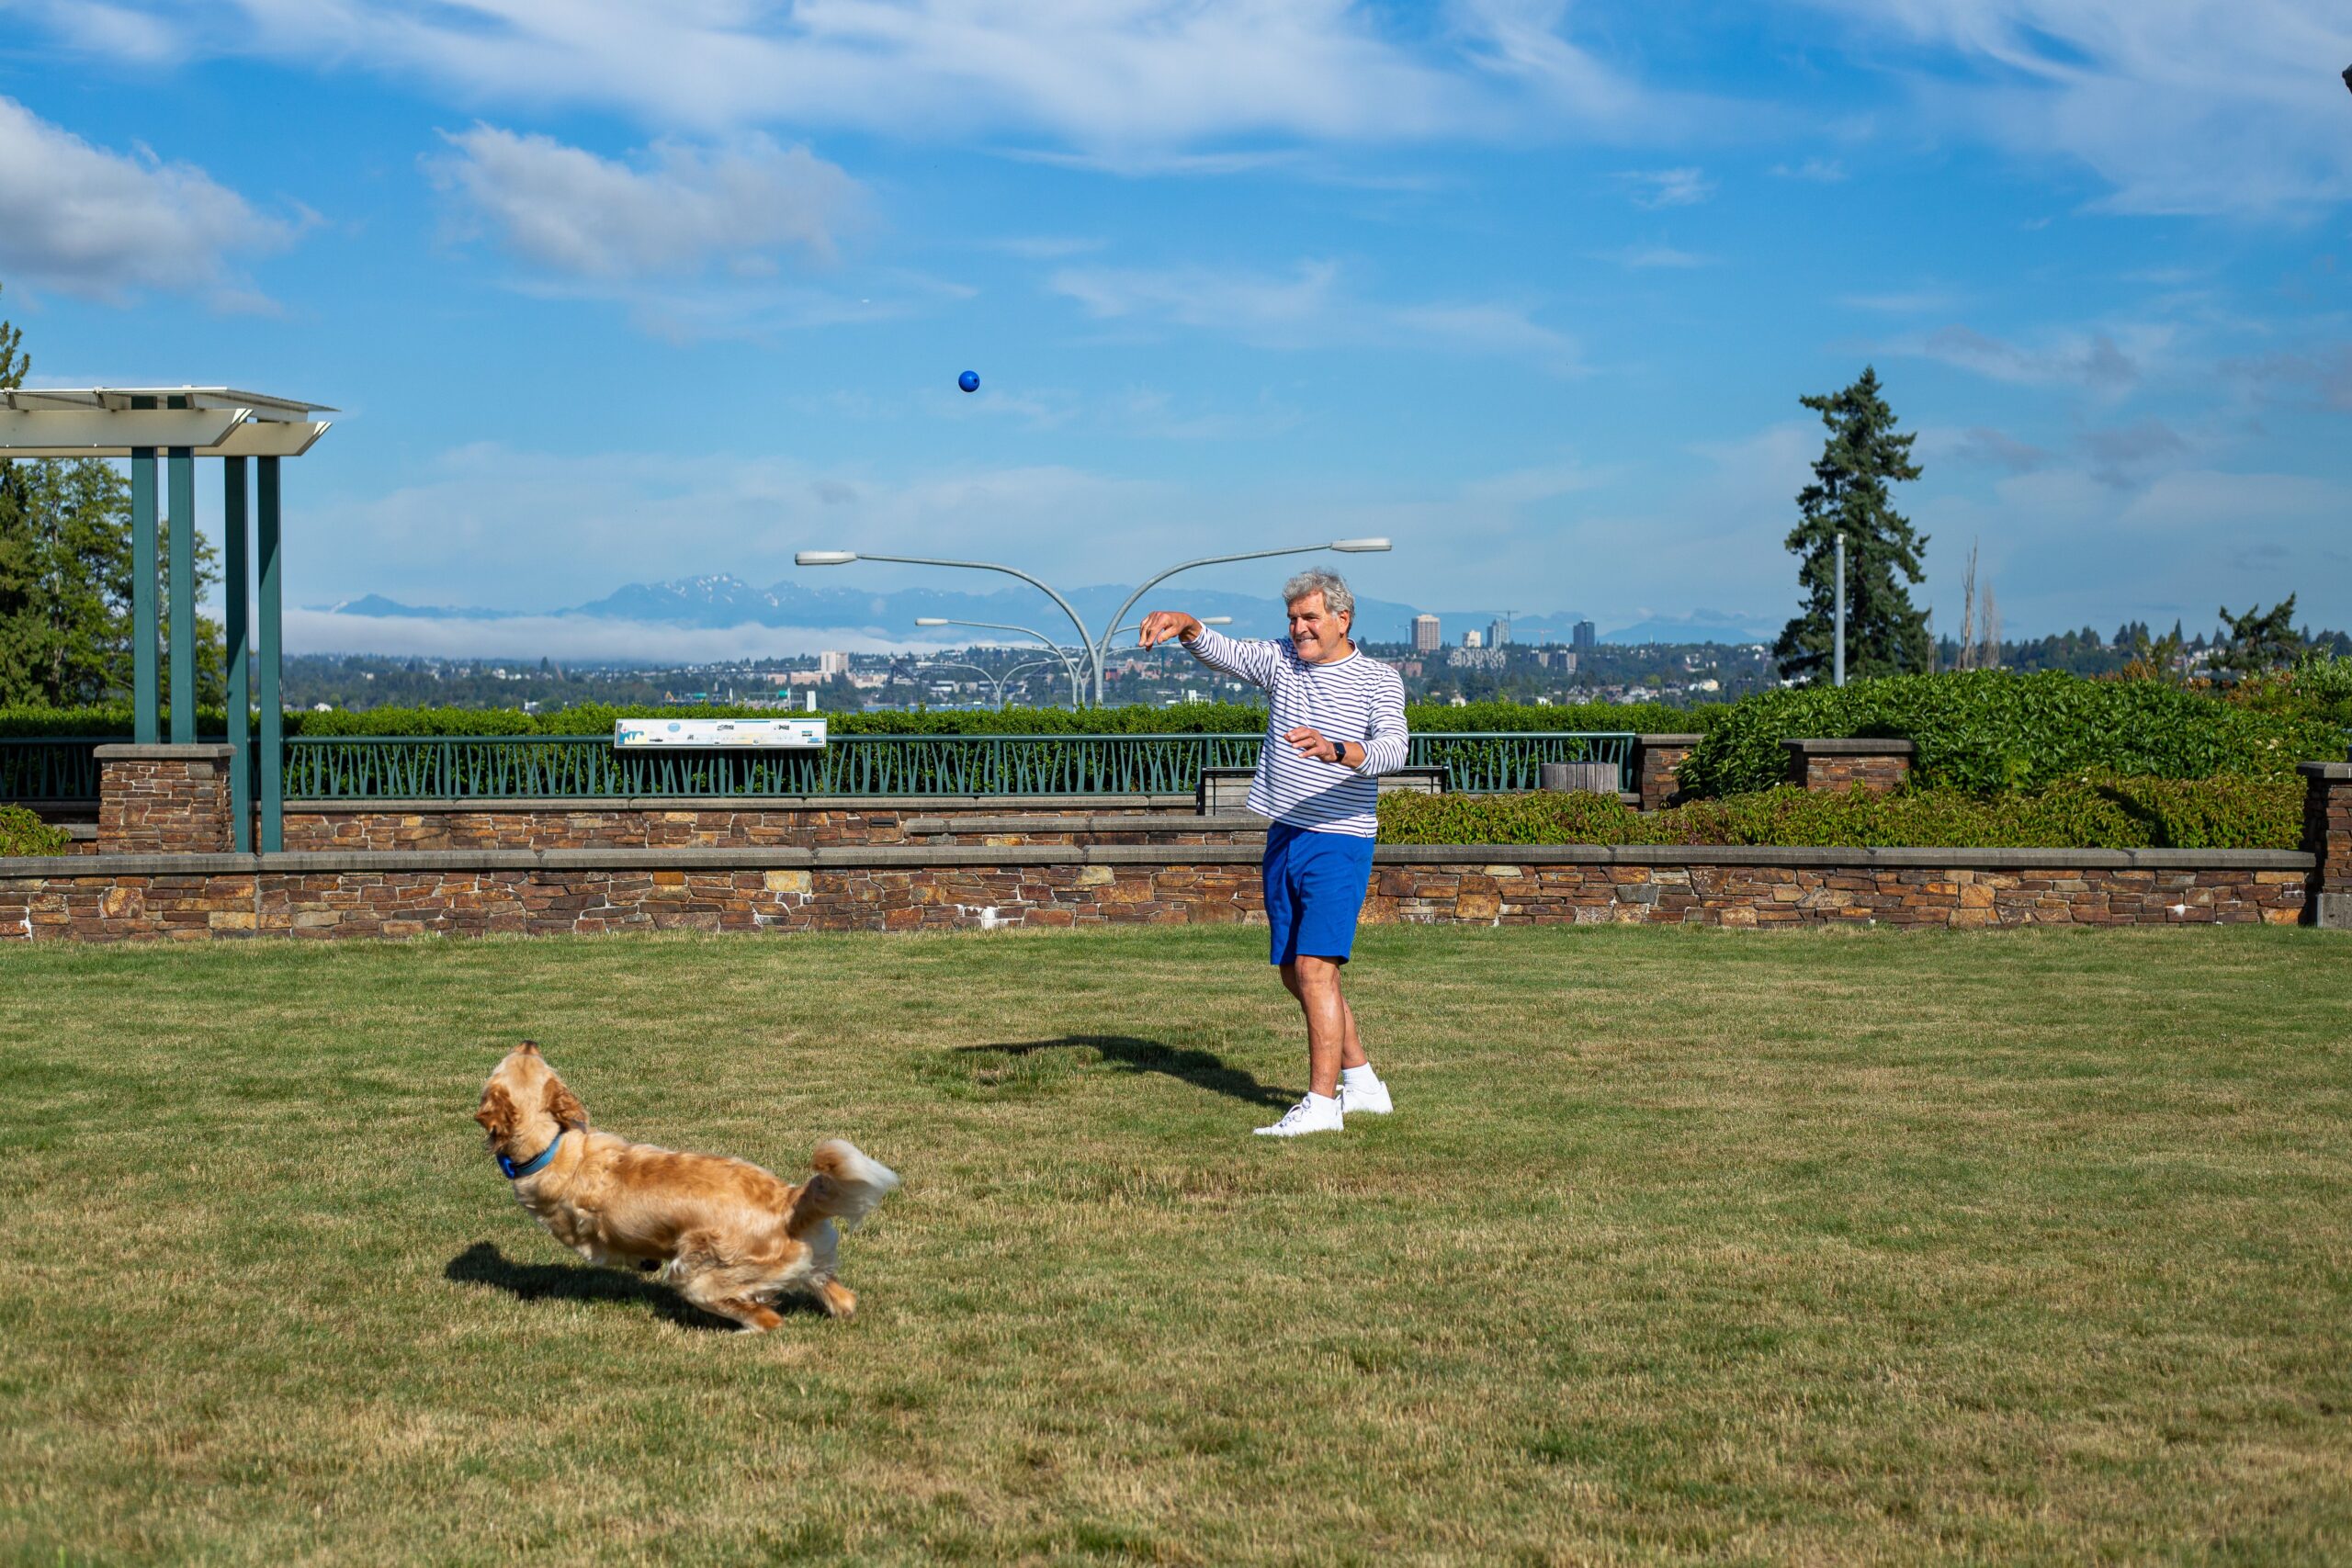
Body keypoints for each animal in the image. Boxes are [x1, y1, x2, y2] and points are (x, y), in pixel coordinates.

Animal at [472, 1048, 893, 1335]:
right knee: (842, 1297)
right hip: (812, 1261)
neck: (551, 1145)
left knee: (768, 1319)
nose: (528, 1041)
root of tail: (788, 1202)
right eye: (533, 1060)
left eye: (499, 1068)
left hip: (696, 1277)